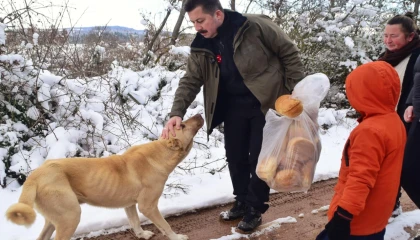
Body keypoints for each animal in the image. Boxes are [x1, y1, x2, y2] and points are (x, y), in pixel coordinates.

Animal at [4, 113, 204, 239]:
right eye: (183, 125)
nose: (200, 114)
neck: (161, 152)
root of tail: (35, 175)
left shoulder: (130, 205)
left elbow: (135, 222)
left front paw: (142, 235)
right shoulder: (148, 206)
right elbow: (165, 225)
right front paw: (177, 237)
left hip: (55, 219)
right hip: (70, 216)